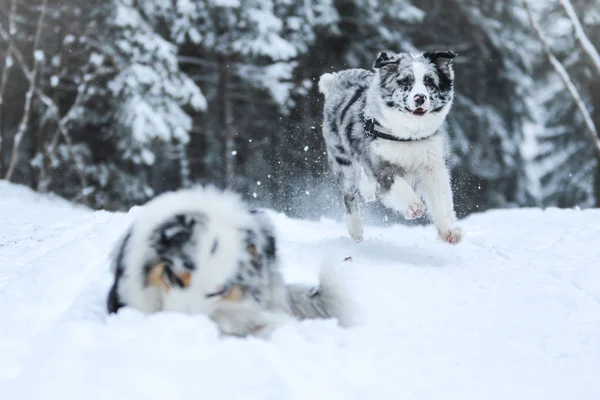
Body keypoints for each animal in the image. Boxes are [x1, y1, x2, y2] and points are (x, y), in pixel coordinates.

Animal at [318, 50, 464, 244]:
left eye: (429, 82)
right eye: (405, 81)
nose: (420, 97)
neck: (409, 136)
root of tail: (337, 78)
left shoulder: (432, 165)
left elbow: (440, 200)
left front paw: (449, 230)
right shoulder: (381, 163)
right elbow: (397, 184)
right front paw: (413, 206)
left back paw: (367, 191)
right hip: (342, 159)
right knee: (349, 194)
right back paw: (356, 230)